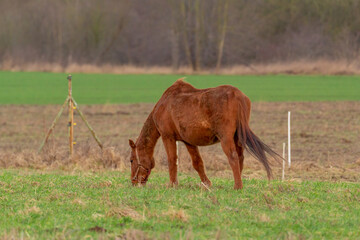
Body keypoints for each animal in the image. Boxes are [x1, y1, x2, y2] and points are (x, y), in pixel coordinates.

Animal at [128, 79, 280, 189]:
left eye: (131, 160)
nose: (134, 182)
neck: (164, 104)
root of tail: (237, 95)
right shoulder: (189, 142)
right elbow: (197, 163)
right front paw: (207, 183)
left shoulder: (168, 137)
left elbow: (172, 160)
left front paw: (172, 184)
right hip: (238, 138)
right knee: (240, 157)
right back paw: (238, 181)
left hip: (226, 138)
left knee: (233, 157)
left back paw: (237, 186)